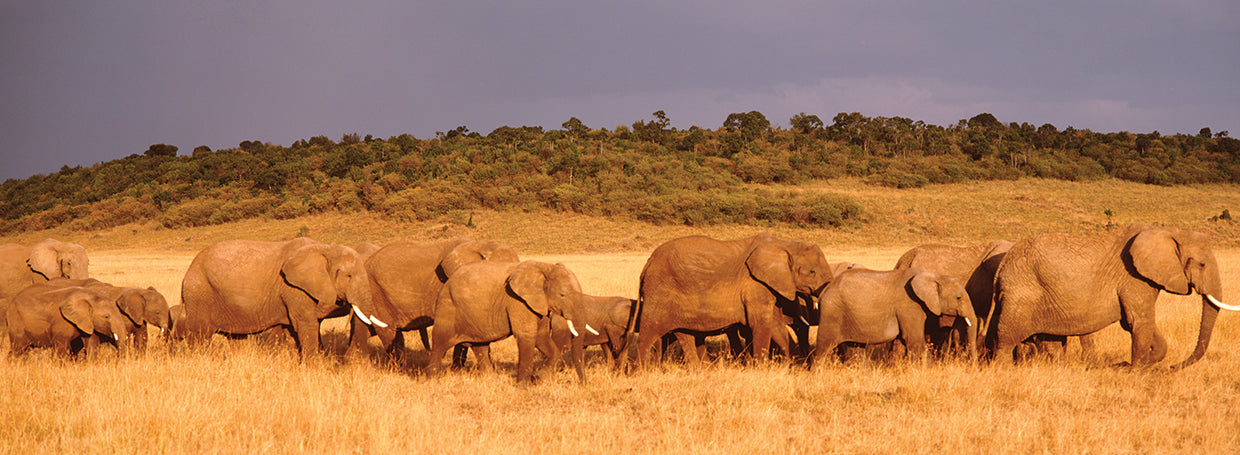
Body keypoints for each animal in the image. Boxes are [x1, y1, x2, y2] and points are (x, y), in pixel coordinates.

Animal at [179, 238, 383, 360]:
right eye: (349, 276)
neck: (325, 249)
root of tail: (188, 271)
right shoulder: (294, 288)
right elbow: (306, 324)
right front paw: (314, 368)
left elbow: (295, 329)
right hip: (200, 293)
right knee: (199, 335)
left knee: (236, 338)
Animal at [428, 261, 589, 384]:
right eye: (562, 295)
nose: (583, 384)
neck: (545, 267)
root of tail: (446, 283)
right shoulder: (518, 301)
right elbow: (527, 335)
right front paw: (523, 387)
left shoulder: (539, 303)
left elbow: (541, 336)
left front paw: (539, 378)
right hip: (448, 307)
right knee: (440, 343)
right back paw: (432, 379)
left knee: (480, 346)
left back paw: (491, 379)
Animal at [635, 234, 832, 369]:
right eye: (812, 272)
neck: (785, 243)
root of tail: (647, 265)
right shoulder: (754, 284)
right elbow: (761, 324)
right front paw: (761, 369)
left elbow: (776, 326)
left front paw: (786, 366)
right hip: (660, 293)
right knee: (648, 332)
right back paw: (644, 371)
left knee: (684, 333)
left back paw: (698, 370)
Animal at [811, 268, 975, 368]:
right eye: (958, 298)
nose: (974, 367)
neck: (934, 276)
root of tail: (825, 290)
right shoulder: (910, 305)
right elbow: (914, 340)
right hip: (831, 313)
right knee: (823, 347)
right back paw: (817, 374)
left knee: (856, 348)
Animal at [987, 223, 1237, 368]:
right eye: (1202, 264)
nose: (1174, 367)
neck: (1169, 231)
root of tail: (1003, 264)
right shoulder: (1133, 276)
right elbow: (1139, 321)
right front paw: (1136, 371)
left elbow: (1134, 322)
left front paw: (1133, 365)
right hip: (1022, 294)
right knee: (1007, 338)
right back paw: (1002, 370)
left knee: (1050, 343)